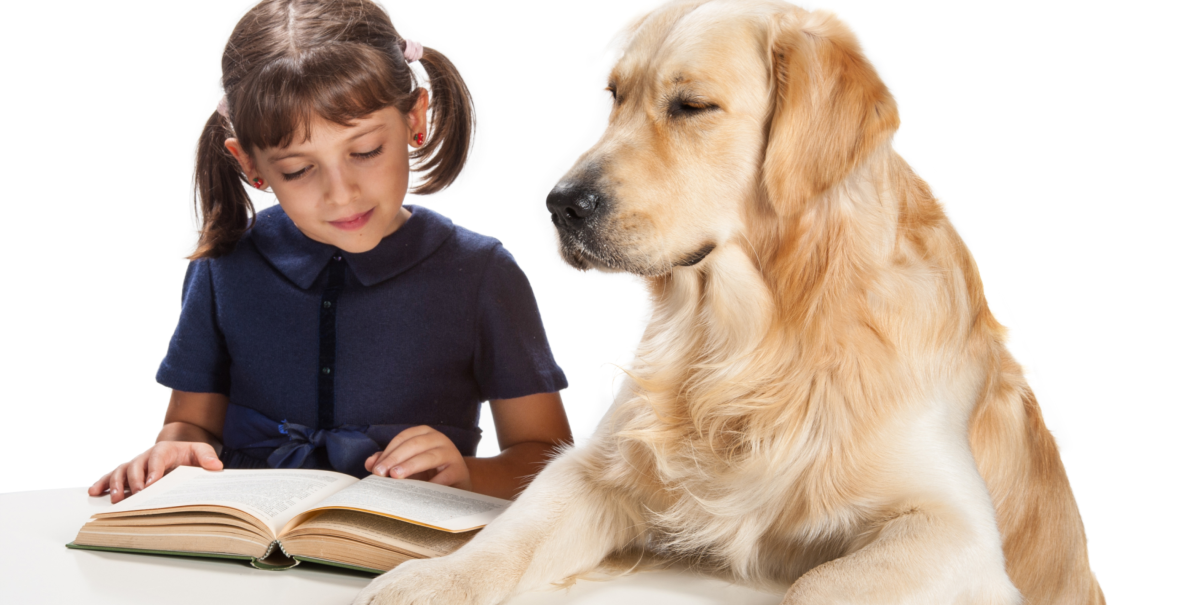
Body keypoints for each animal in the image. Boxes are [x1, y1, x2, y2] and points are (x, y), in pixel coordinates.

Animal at [352, 1, 1099, 605]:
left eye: (691, 106)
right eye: (615, 97)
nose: (561, 205)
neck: (755, 338)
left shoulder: (956, 530)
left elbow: (819, 582)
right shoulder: (595, 468)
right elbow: (513, 530)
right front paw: (431, 578)